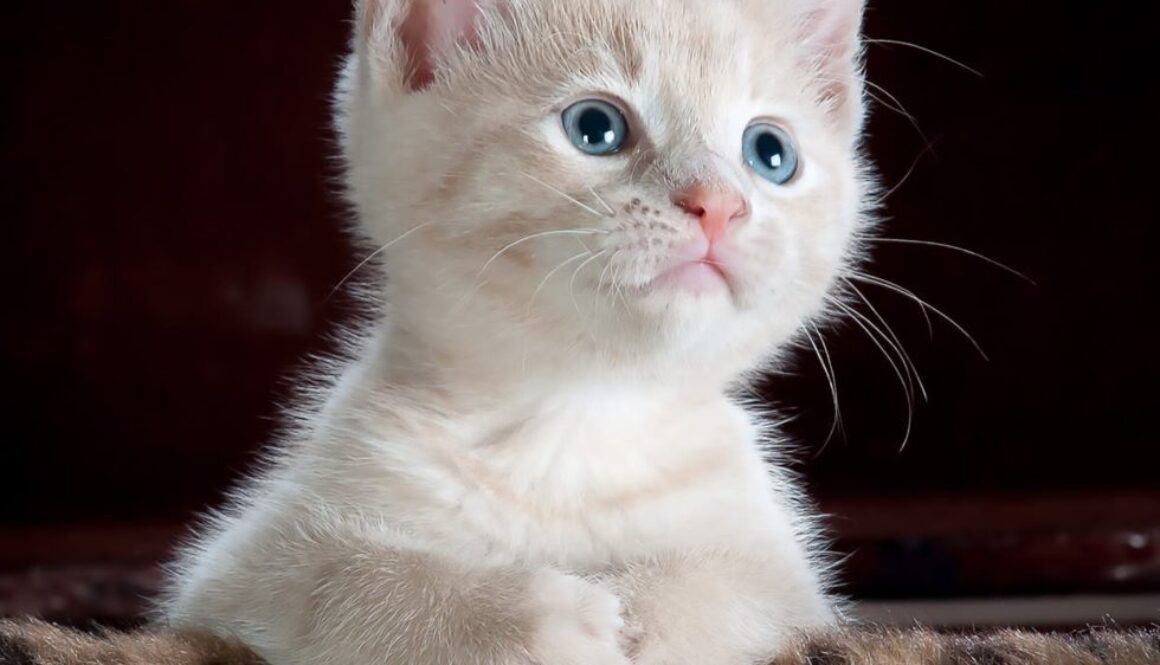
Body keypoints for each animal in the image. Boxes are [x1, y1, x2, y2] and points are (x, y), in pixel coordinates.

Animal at [161, 1, 872, 663]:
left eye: (770, 154)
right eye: (596, 127)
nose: (720, 204)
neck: (576, 420)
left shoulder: (789, 579)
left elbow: (739, 586)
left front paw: (649, 618)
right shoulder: (234, 576)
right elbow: (345, 581)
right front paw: (530, 619)